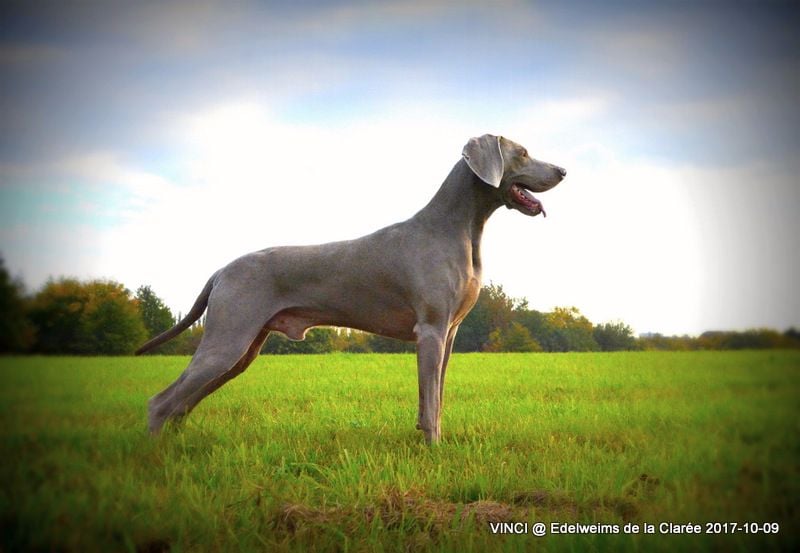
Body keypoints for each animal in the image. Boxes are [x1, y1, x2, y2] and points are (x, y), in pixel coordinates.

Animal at [138, 134, 564, 444]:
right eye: (523, 153)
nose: (562, 169)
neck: (459, 228)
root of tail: (222, 270)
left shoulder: (451, 333)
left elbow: (438, 397)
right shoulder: (430, 331)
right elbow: (430, 401)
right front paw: (434, 449)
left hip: (243, 350)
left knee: (182, 403)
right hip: (227, 340)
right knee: (161, 402)